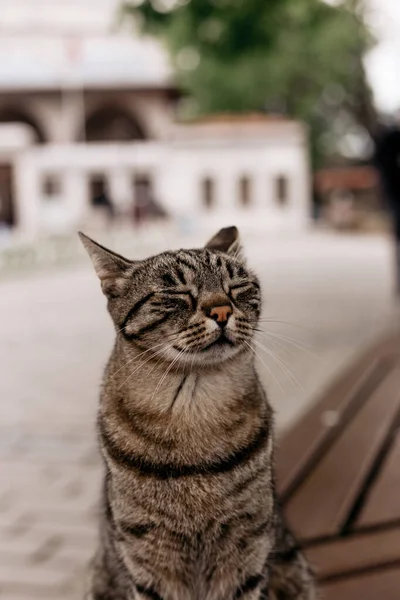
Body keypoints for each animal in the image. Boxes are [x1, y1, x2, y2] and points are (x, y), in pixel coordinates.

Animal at [79, 226, 318, 600]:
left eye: (237, 287)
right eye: (176, 292)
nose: (221, 310)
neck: (194, 410)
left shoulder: (248, 545)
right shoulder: (147, 555)